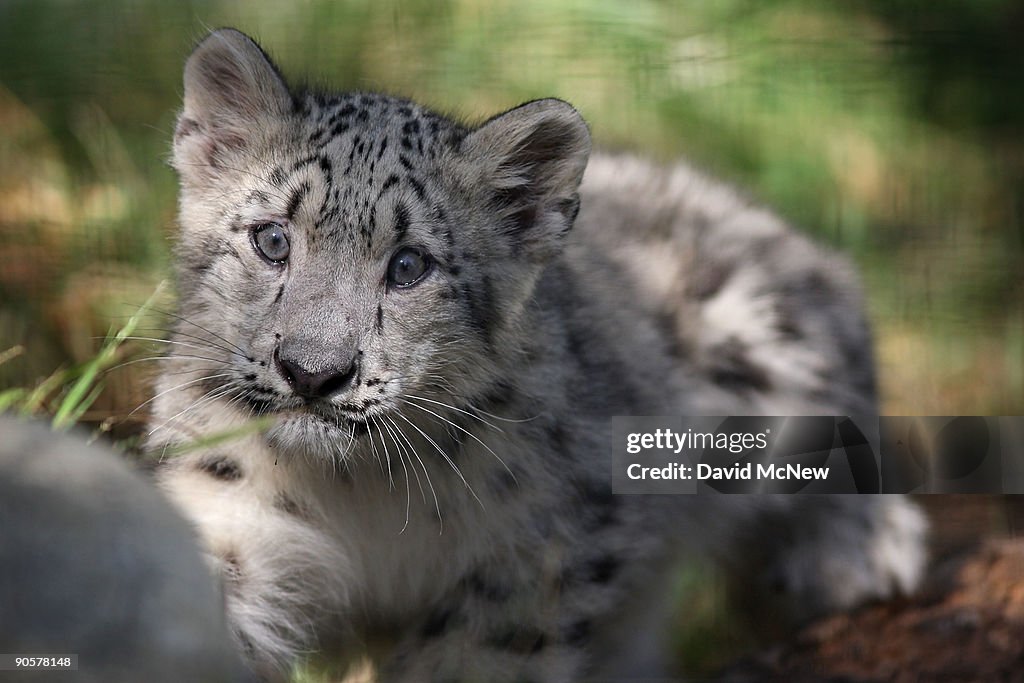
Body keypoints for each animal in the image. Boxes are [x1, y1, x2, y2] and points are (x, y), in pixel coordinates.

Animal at [148, 28, 927, 682]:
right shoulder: (230, 506)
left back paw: (856, 551)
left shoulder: (542, 552)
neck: (359, 492)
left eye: (409, 266)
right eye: (272, 238)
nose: (314, 372)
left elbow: (470, 659)